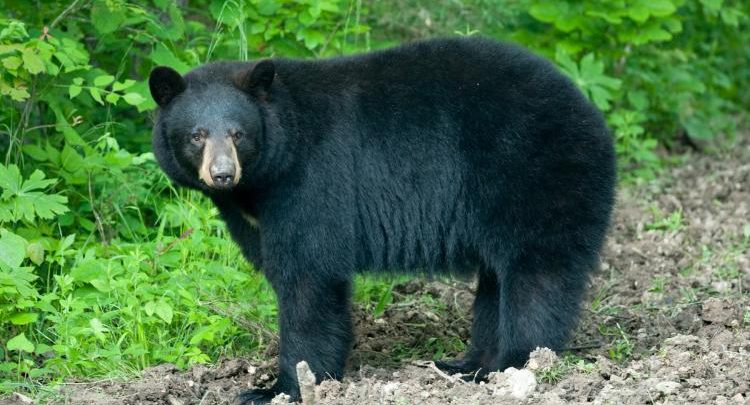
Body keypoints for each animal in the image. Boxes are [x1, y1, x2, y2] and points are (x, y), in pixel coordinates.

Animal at [148, 36, 616, 404]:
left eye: (238, 133)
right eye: (197, 135)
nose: (223, 174)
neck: (266, 175)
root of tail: (590, 111)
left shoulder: (311, 182)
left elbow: (309, 277)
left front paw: (279, 388)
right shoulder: (255, 214)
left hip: (536, 175)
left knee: (537, 276)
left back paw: (517, 364)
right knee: (496, 280)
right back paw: (469, 366)